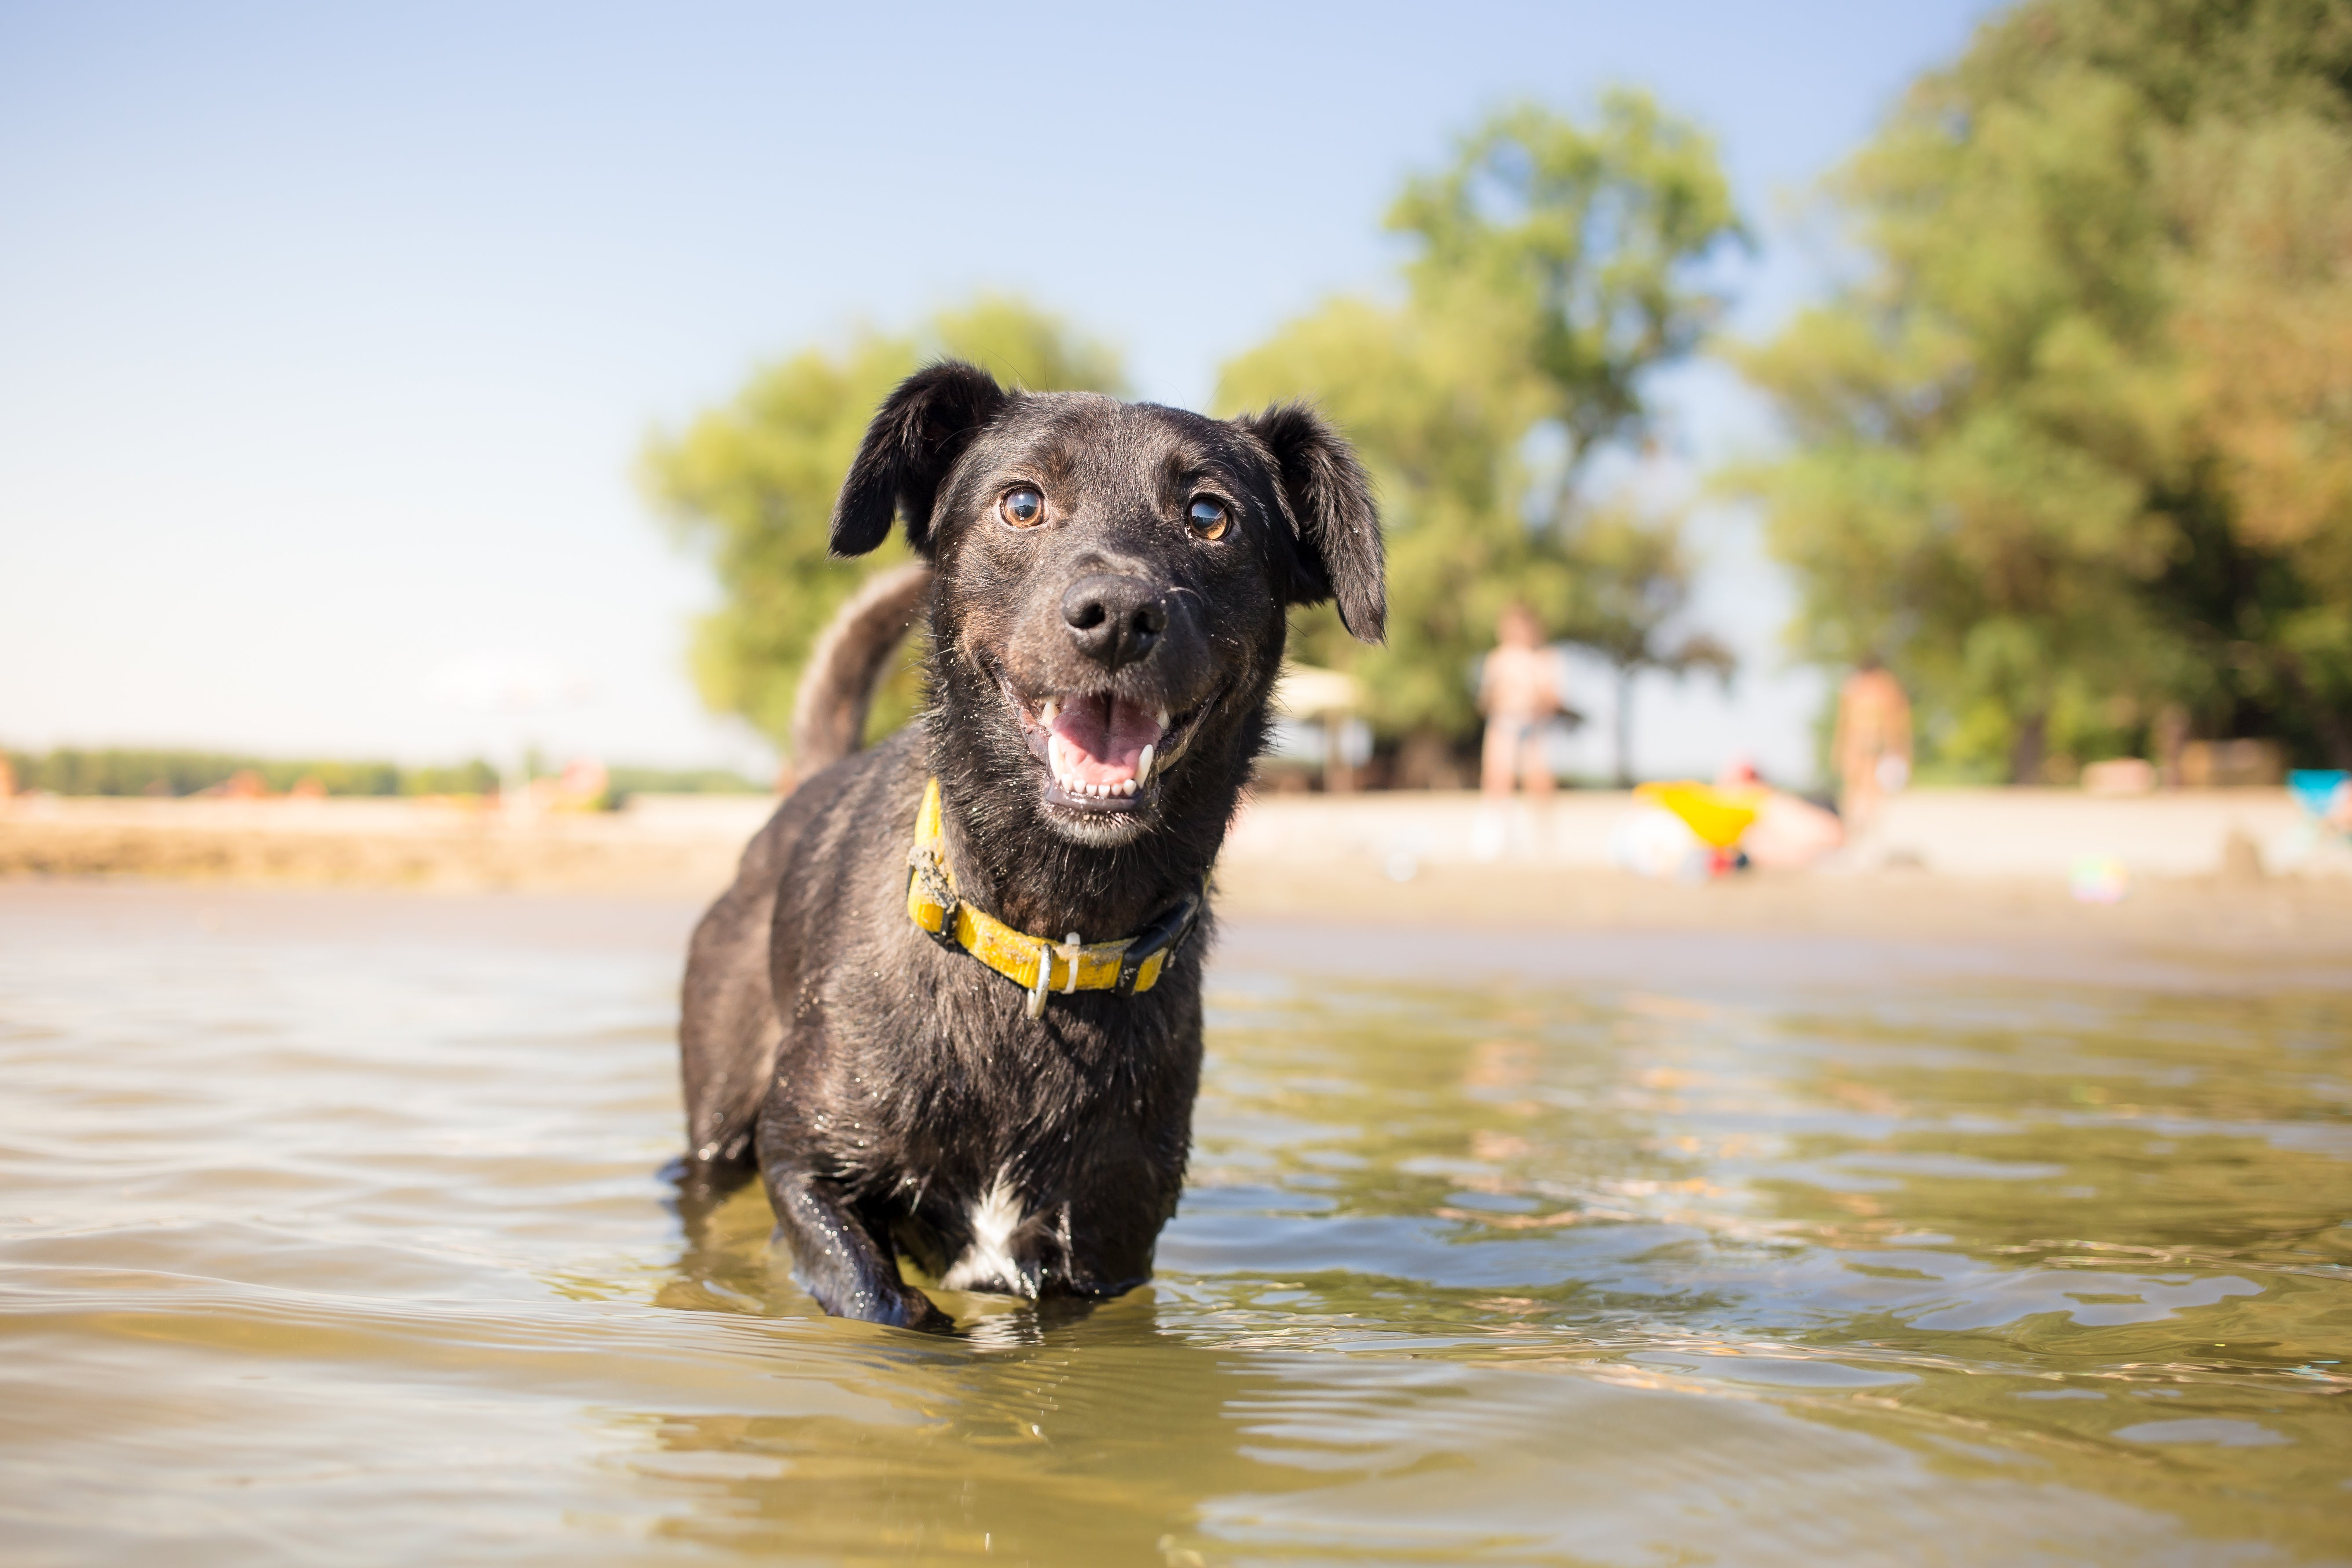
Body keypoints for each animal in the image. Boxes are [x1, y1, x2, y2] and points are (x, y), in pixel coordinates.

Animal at [677, 362, 1373, 1335]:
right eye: (1021, 503)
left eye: (1209, 515)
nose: (1116, 614)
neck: (1046, 940)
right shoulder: (803, 1161)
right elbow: (880, 1299)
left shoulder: (1108, 1251)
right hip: (715, 1120)